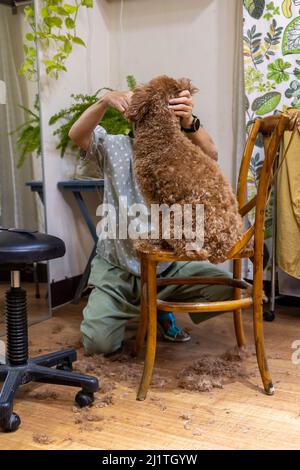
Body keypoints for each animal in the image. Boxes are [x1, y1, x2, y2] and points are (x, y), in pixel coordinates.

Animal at [125, 75, 244, 262]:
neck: (163, 132)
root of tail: (226, 248)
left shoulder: (156, 197)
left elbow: (158, 223)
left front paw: (154, 243)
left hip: (181, 216)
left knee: (191, 251)